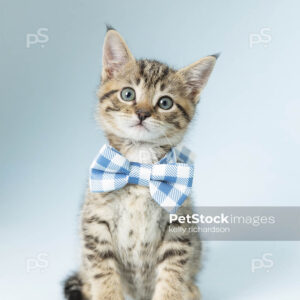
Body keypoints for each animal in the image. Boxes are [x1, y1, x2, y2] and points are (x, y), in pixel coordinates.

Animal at [64, 28, 217, 300]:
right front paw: (107, 293)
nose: (143, 113)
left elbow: (172, 273)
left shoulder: (178, 225)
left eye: (165, 103)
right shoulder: (95, 224)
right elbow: (103, 271)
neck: (140, 167)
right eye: (128, 94)